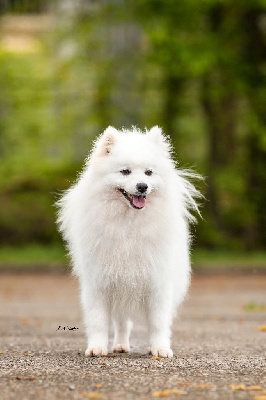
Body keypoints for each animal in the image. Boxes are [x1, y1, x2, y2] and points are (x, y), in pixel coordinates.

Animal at [57, 126, 201, 358]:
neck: (129, 223)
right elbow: (98, 321)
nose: (142, 186)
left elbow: (158, 322)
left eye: (149, 173)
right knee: (122, 322)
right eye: (125, 171)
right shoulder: (100, 282)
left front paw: (161, 348)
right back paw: (120, 345)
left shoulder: (157, 282)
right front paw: (97, 347)